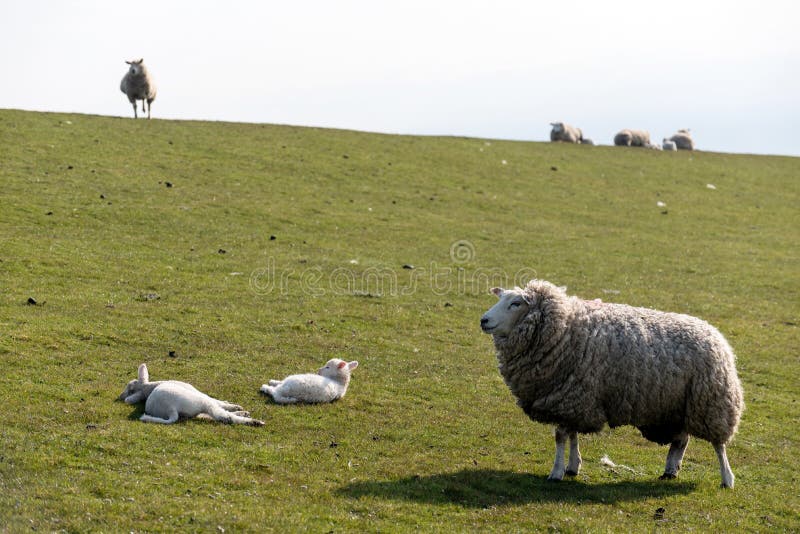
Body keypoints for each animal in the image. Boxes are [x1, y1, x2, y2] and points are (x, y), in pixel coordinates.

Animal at [118, 363, 265, 426]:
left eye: (129, 388)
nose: (120, 397)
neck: (149, 387)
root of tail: (170, 409)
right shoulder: (200, 394)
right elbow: (220, 403)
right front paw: (237, 408)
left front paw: (241, 410)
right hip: (198, 400)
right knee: (222, 416)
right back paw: (255, 422)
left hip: (191, 410)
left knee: (214, 415)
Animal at [479, 280, 744, 488]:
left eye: (516, 304)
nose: (484, 320)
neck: (564, 329)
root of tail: (716, 336)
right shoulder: (575, 398)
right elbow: (572, 434)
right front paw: (573, 466)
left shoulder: (570, 394)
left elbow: (560, 436)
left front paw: (556, 472)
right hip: (678, 405)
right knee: (681, 439)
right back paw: (670, 470)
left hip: (713, 400)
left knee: (719, 445)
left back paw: (727, 479)